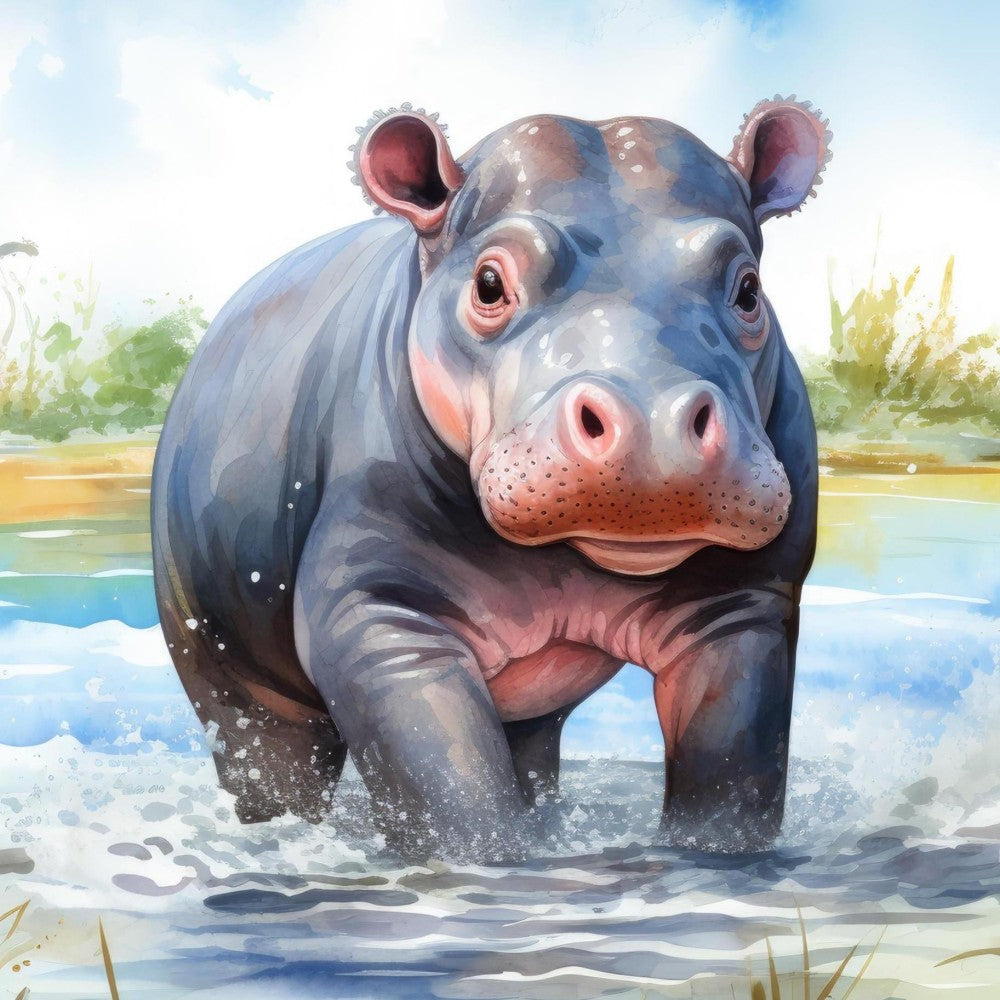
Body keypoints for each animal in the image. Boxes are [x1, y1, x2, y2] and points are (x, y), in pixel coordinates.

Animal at [152, 96, 830, 860]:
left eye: (748, 288)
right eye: (488, 283)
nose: (651, 425)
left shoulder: (743, 604)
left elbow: (732, 787)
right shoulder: (376, 607)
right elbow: (453, 798)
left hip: (531, 700)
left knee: (529, 749)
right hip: (232, 671)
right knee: (270, 762)